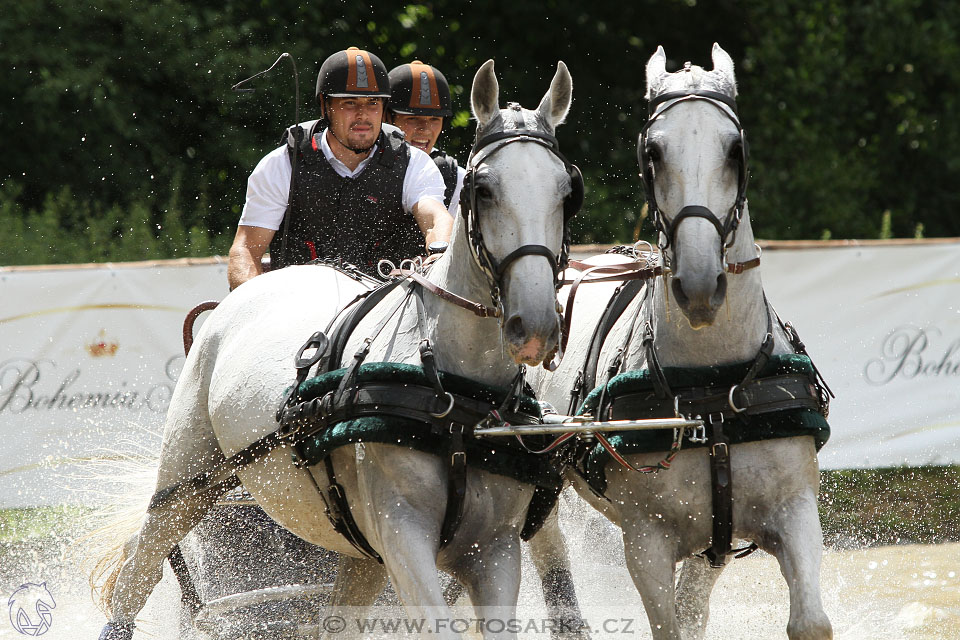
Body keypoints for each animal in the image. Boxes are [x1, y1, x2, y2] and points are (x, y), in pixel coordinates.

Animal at [95, 57, 576, 636]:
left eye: (566, 191)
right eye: (482, 189)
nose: (536, 326)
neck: (457, 398)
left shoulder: (494, 549)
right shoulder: (403, 533)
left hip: (359, 548)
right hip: (187, 482)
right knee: (137, 572)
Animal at [532, 42, 832, 636]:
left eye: (735, 150)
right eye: (653, 152)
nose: (698, 284)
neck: (712, 387)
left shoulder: (791, 511)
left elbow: (808, 621)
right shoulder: (646, 543)